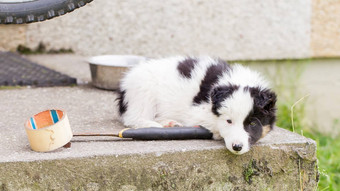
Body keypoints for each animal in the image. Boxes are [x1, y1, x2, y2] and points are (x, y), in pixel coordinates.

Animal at [117, 56, 276, 155]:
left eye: (252, 123)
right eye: (228, 121)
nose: (237, 147)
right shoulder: (196, 112)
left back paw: (170, 123)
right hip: (143, 92)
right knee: (134, 117)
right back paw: (154, 126)